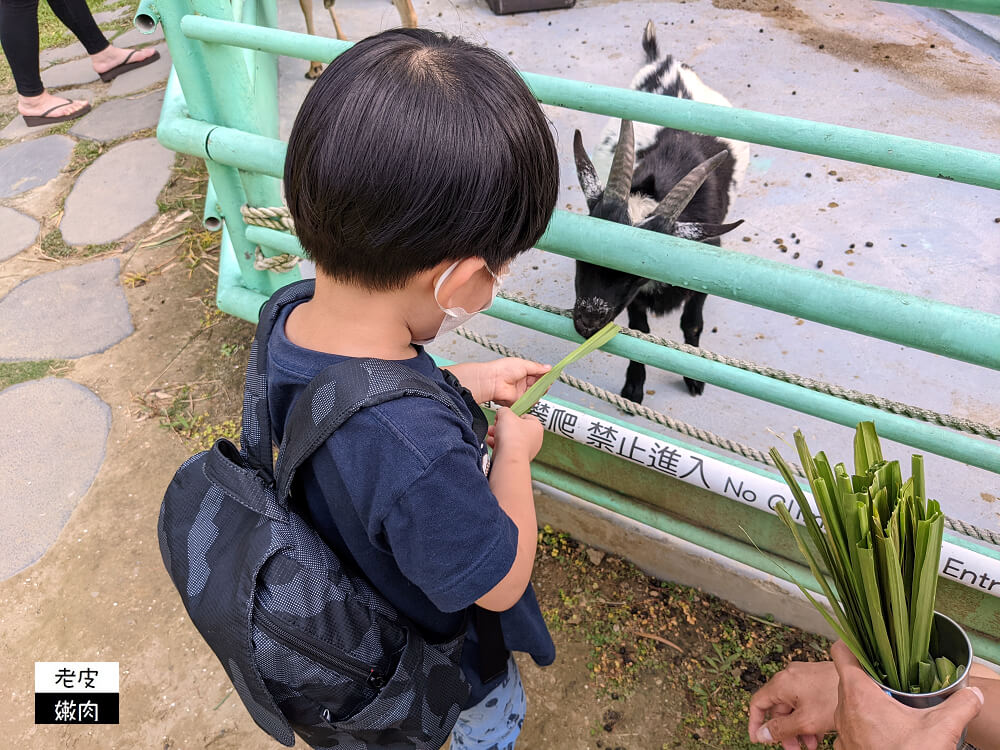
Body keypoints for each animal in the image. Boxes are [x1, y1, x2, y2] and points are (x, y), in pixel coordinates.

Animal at [576, 20, 748, 402]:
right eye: (580, 255)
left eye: (634, 273)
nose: (586, 322)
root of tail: (667, 62)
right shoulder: (635, 301)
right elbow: (640, 331)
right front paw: (633, 386)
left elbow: (692, 323)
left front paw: (694, 377)